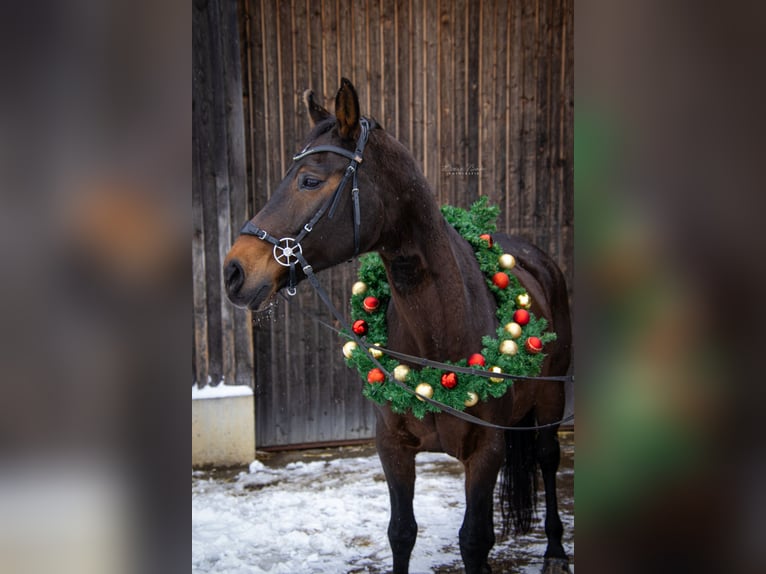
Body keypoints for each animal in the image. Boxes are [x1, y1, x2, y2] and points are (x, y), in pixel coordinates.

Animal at [222, 77, 568, 574]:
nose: (233, 272)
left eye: (310, 180)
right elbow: (401, 532)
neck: (438, 336)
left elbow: (474, 540)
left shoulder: (486, 451)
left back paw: (556, 548)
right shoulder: (393, 447)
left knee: (546, 458)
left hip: (552, 401)